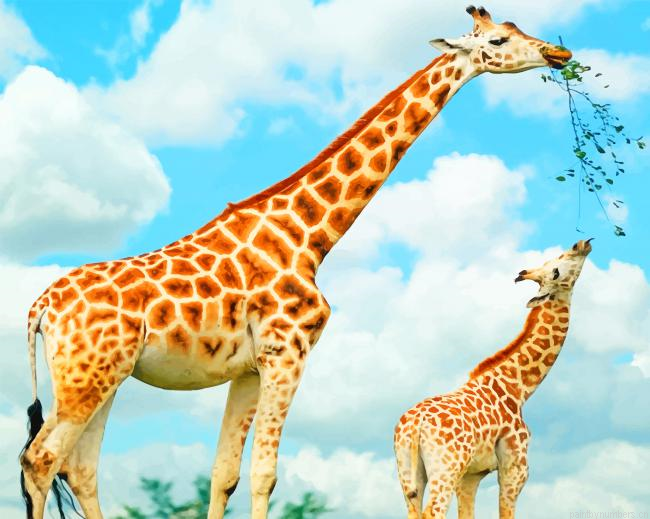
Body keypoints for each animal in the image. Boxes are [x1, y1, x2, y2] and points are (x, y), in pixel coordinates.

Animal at [19, 6, 572, 519]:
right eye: (498, 40)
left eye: (517, 28)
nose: (559, 53)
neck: (310, 238)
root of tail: (40, 308)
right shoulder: (288, 352)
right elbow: (264, 474)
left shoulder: (249, 367)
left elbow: (224, 474)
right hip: (86, 378)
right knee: (40, 459)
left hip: (106, 376)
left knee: (80, 466)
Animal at [393, 239, 593, 519]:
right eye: (556, 269)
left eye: (552, 262)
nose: (581, 244)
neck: (519, 389)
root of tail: (414, 426)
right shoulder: (515, 469)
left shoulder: (471, 476)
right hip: (445, 469)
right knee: (433, 511)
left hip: (408, 472)